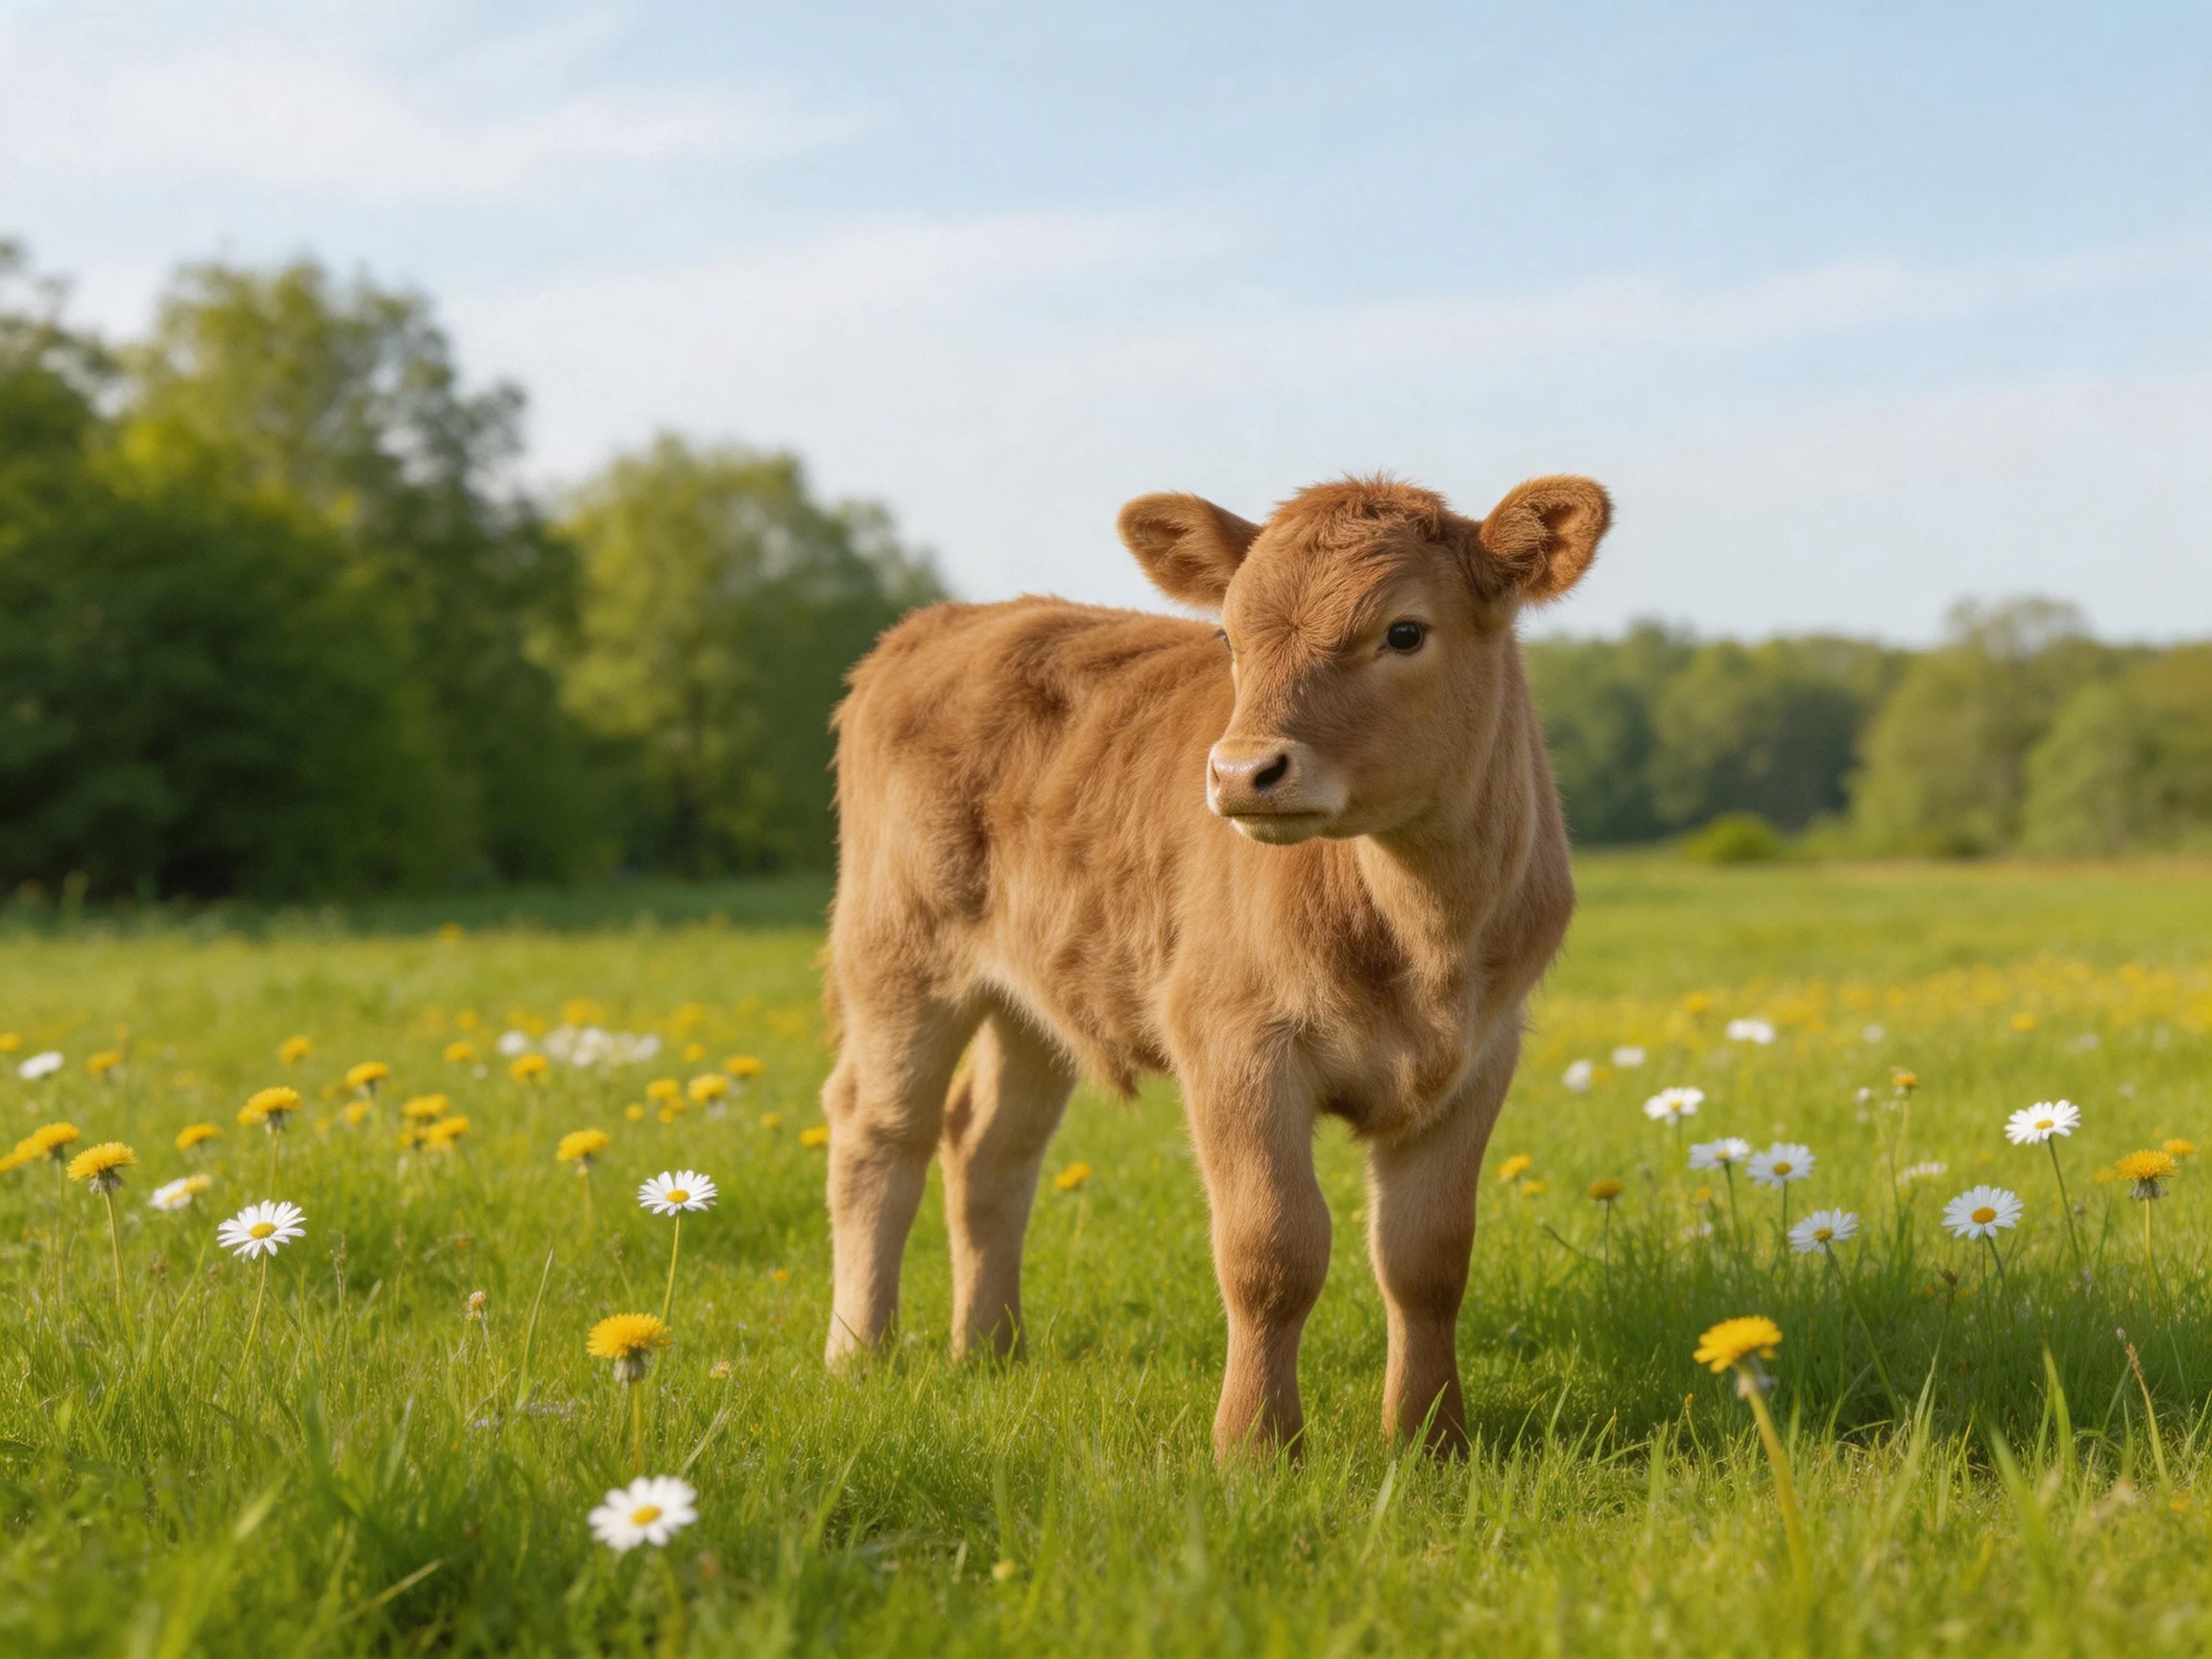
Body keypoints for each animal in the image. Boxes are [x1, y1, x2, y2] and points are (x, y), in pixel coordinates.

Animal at [818, 472, 1610, 1459]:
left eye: (1404, 632)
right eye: (1231, 636)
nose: (1240, 772)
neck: (1422, 931)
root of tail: (948, 621)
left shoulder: (1480, 1057)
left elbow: (1427, 1259)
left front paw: (1430, 1441)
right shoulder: (1233, 1039)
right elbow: (1272, 1251)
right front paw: (1255, 1447)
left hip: (1031, 996)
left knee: (991, 1146)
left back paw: (992, 1349)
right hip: (897, 958)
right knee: (879, 1135)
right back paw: (860, 1354)